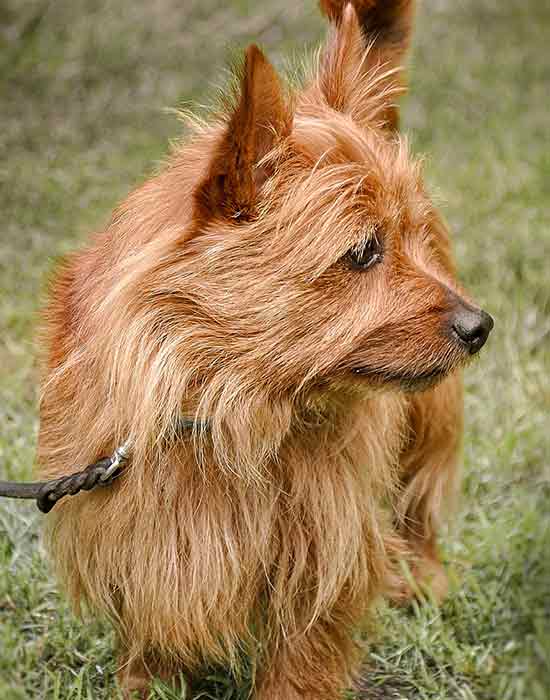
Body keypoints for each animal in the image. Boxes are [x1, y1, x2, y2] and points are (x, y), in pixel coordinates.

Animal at [38, 2, 496, 696]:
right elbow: (151, 634)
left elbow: (302, 655)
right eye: (364, 251)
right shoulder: (141, 543)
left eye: (415, 237)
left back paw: (424, 580)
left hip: (429, 419)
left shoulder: (324, 546)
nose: (480, 325)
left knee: (419, 501)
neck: (227, 405)